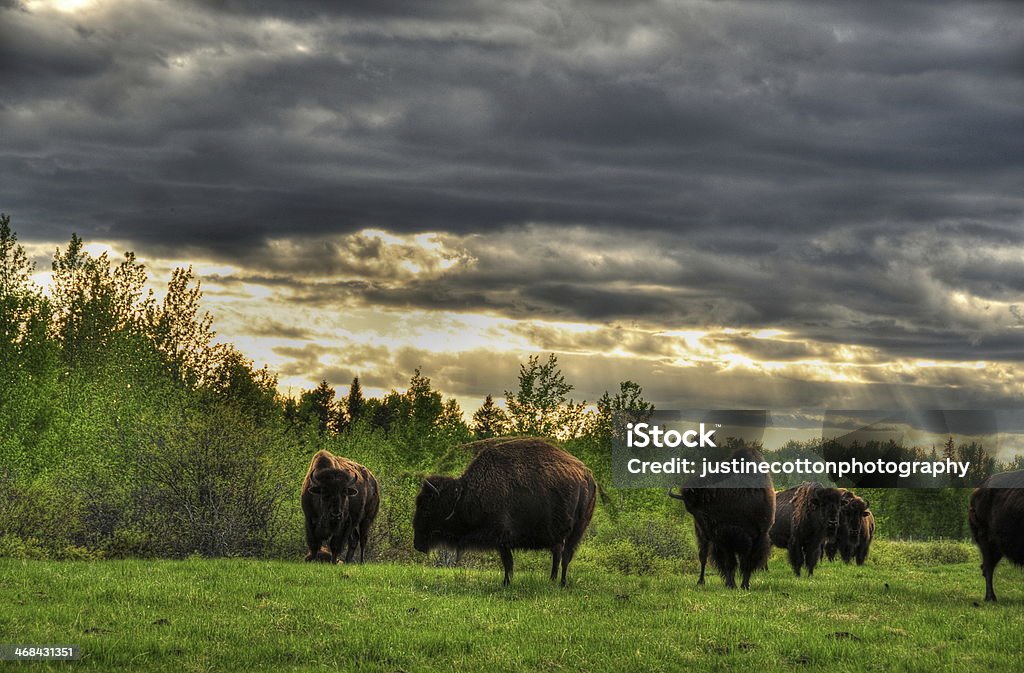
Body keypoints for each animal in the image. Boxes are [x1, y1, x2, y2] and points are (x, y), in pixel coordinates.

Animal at [411, 438, 598, 585]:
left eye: (426, 508)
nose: (417, 544)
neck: (462, 495)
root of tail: (587, 476)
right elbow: (509, 563)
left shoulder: (502, 538)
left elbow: (508, 563)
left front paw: (506, 583)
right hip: (558, 536)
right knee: (558, 554)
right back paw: (551, 580)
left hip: (576, 532)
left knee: (565, 556)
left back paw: (562, 583)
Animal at [667, 446, 770, 590]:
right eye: (690, 510)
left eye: (701, 506)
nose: (706, 531)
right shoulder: (725, 540)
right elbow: (730, 563)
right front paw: (731, 584)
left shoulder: (756, 537)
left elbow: (747, 563)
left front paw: (744, 585)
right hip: (707, 541)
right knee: (704, 558)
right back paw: (701, 581)